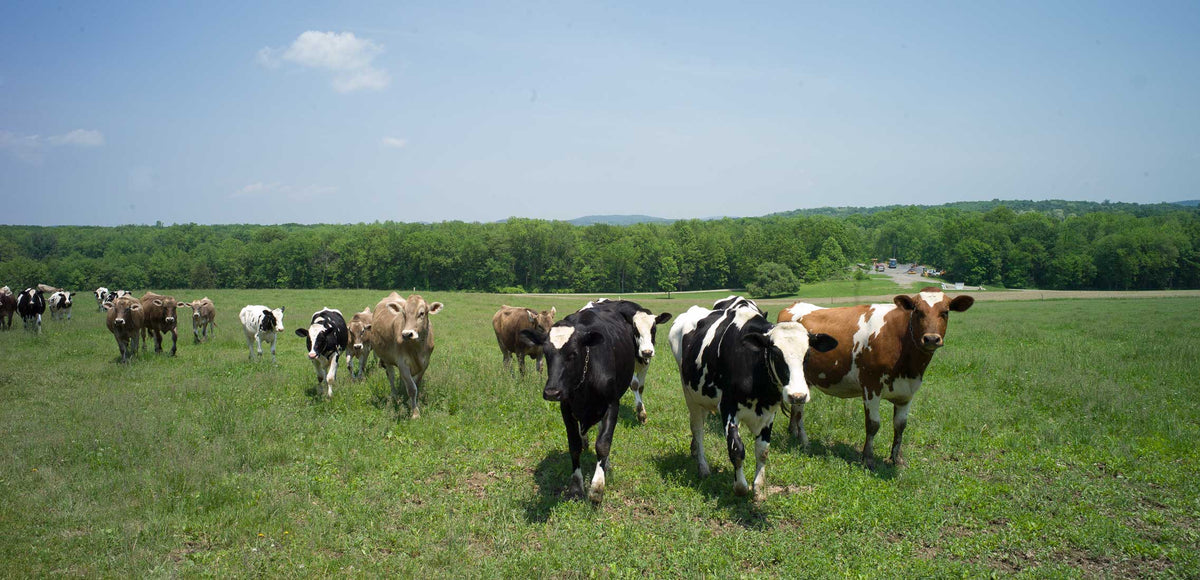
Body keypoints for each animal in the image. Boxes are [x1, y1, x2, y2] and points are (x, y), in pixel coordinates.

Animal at [523, 309, 638, 504]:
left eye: (573, 353)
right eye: (546, 353)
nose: (552, 392)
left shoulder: (612, 404)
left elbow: (603, 444)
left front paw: (597, 487)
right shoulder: (566, 408)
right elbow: (574, 445)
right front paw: (576, 487)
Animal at [672, 297, 840, 497]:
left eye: (807, 354)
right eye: (775, 353)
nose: (798, 395)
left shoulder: (769, 412)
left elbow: (762, 450)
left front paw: (759, 488)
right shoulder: (728, 408)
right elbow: (736, 449)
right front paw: (741, 487)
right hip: (690, 395)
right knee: (698, 430)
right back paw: (703, 467)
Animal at [777, 288, 974, 470]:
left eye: (945, 312)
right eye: (917, 311)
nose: (931, 339)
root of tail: (794, 305)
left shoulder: (907, 392)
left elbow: (900, 425)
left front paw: (897, 459)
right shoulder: (871, 387)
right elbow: (873, 425)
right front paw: (868, 459)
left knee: (796, 405)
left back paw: (793, 433)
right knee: (799, 411)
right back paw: (803, 441)